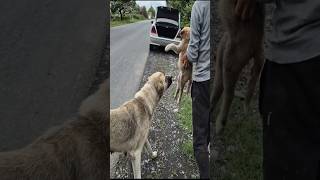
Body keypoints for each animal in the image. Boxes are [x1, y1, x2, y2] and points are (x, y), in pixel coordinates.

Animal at [210, 0, 264, 134]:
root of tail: (257, 46)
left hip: (231, 63)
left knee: (229, 94)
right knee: (219, 89)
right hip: (223, 57)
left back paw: (220, 123)